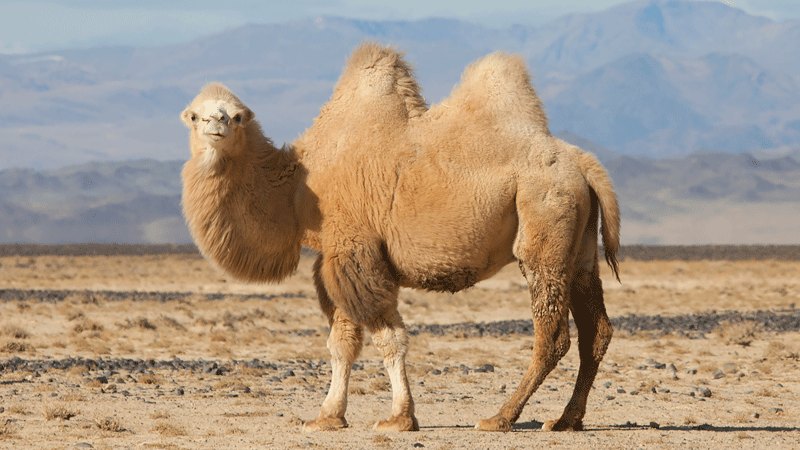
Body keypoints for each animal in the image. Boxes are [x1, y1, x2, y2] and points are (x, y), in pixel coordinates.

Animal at [180, 43, 620, 432]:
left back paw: (500, 418)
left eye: (237, 116)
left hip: (544, 223)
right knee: (596, 331)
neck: (299, 188)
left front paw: (399, 418)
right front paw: (328, 417)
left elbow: (387, 339)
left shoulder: (355, 251)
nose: (216, 125)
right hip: (579, 248)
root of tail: (584, 164)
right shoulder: (337, 258)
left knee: (553, 335)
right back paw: (565, 420)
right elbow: (342, 342)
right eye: (194, 115)